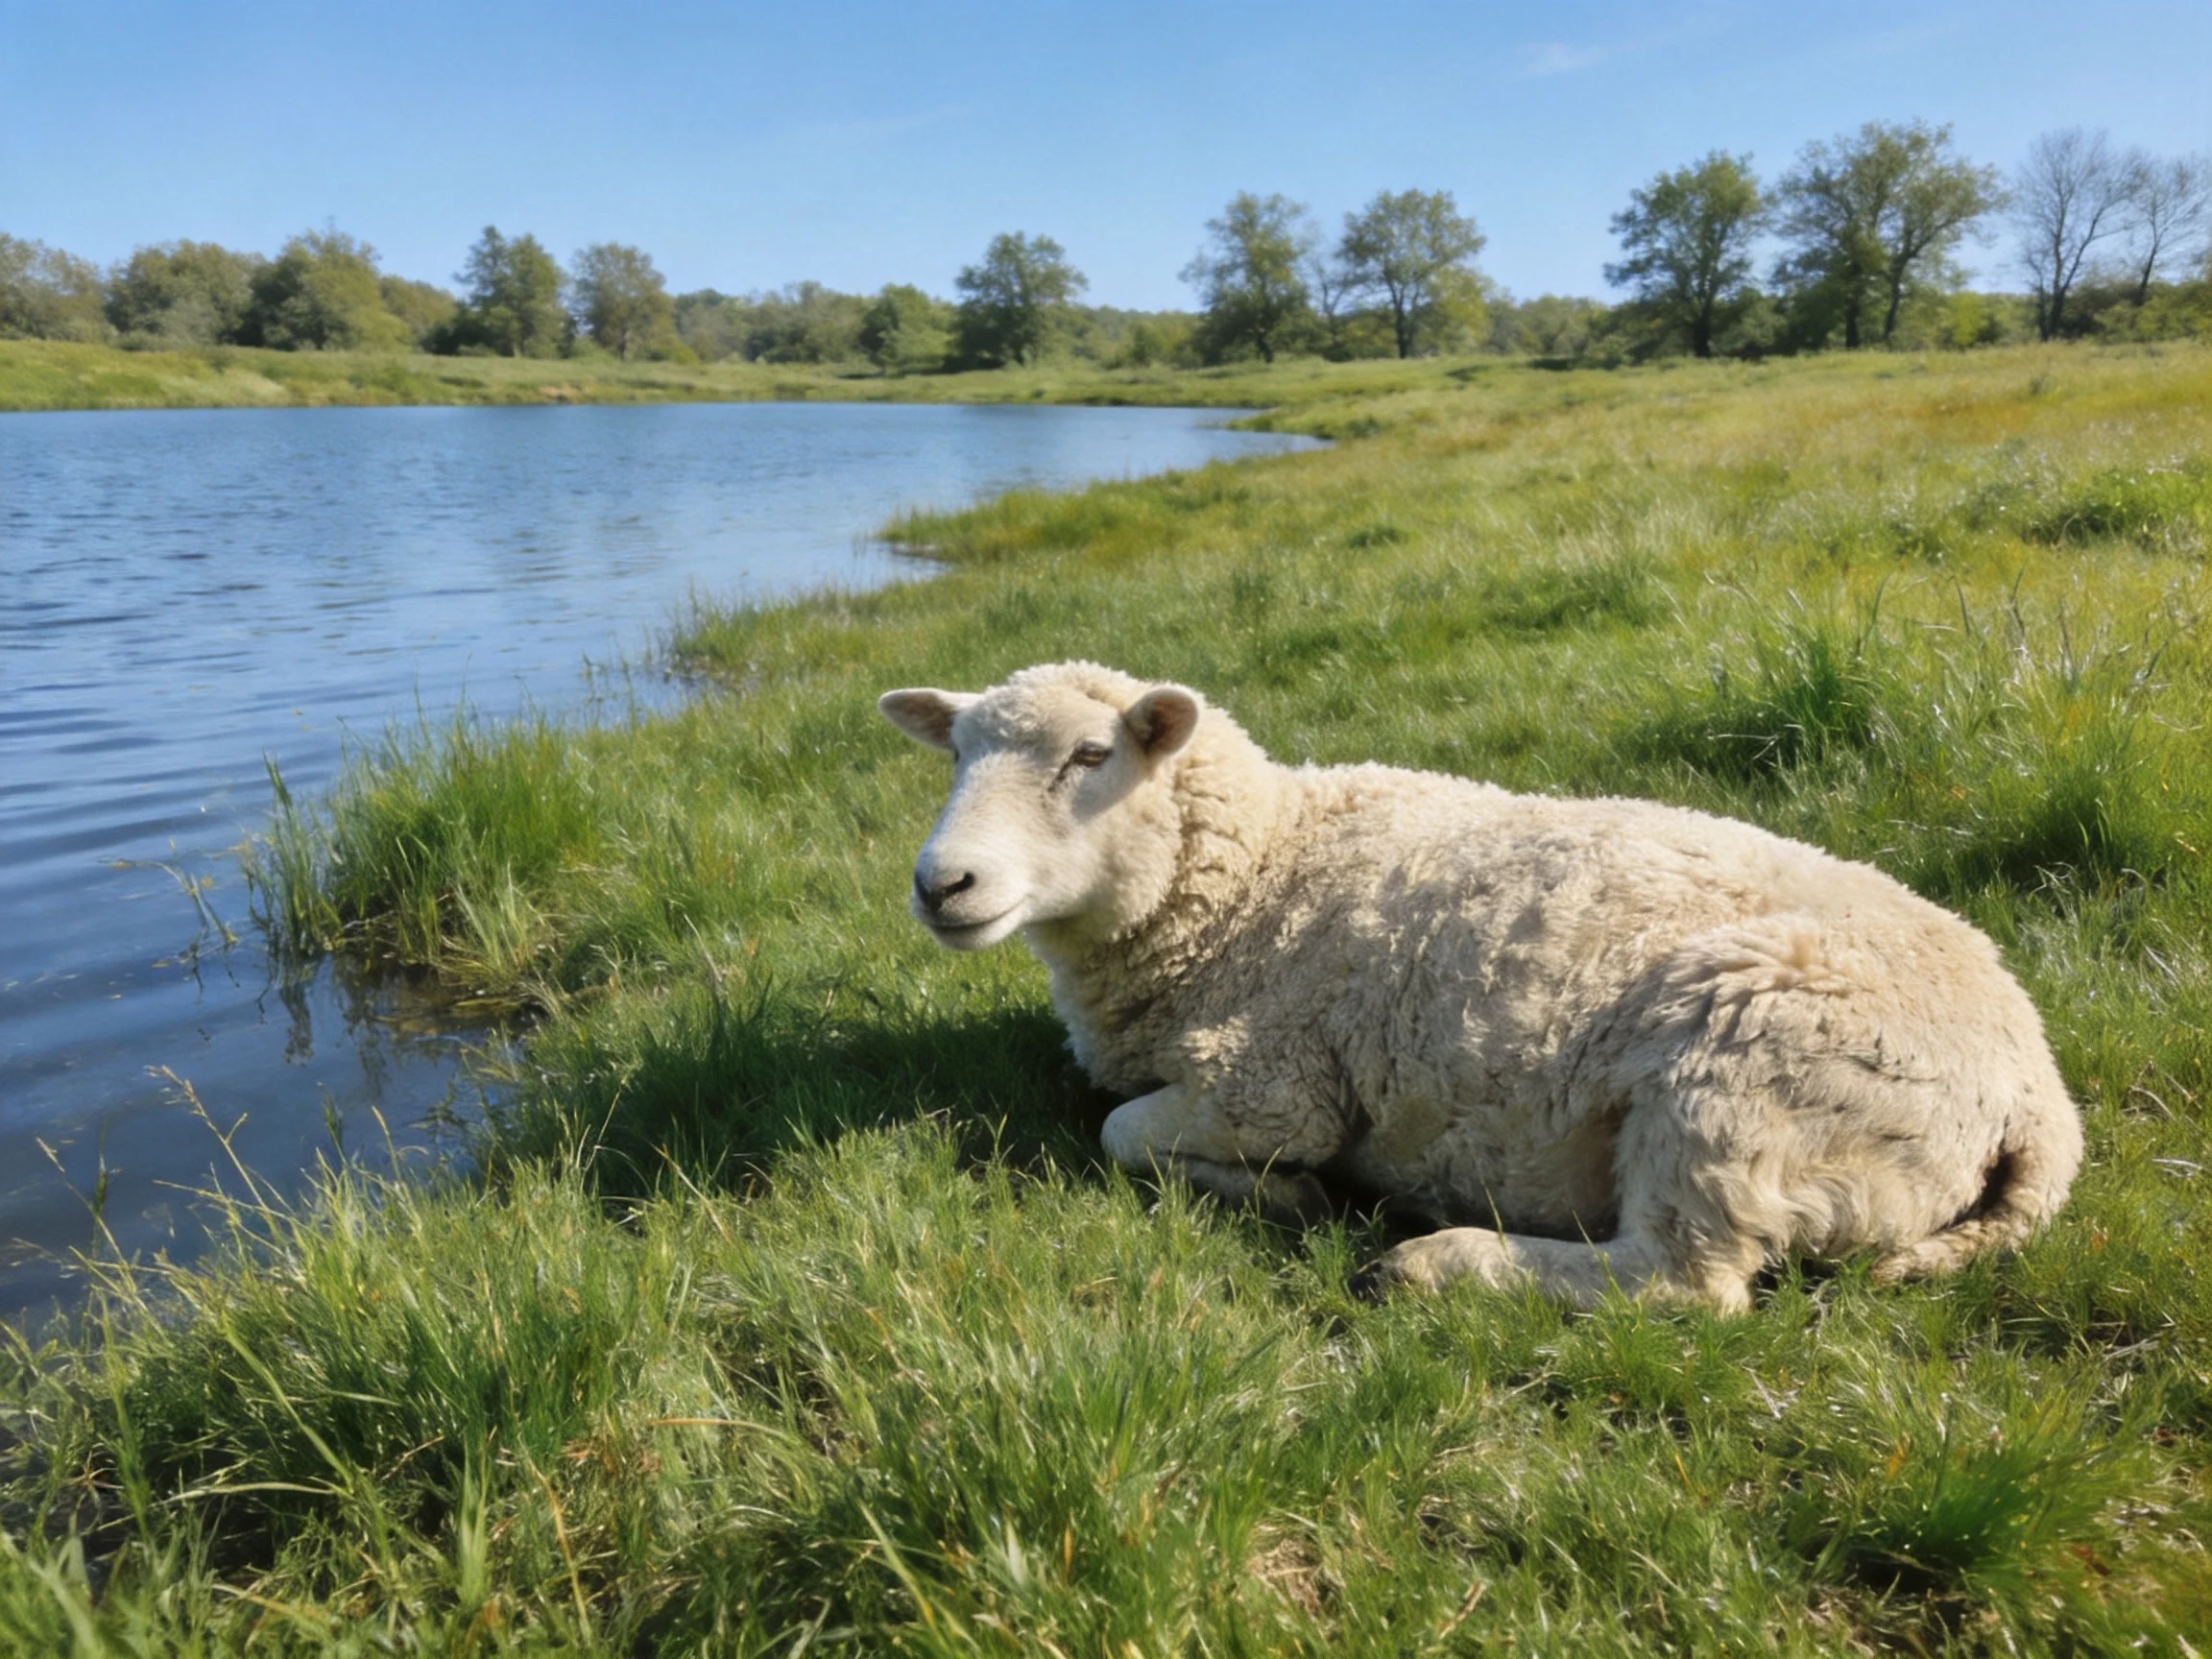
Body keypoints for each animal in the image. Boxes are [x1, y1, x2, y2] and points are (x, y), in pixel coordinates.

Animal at [878, 661, 2083, 1312]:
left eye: (1091, 758)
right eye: (955, 757)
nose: (943, 885)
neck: (1259, 871)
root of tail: (2038, 1099)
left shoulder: (1273, 1085)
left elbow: (1121, 1132)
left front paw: (1292, 1196)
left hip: (1737, 1084)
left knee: (1680, 1281)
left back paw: (1432, 1263)